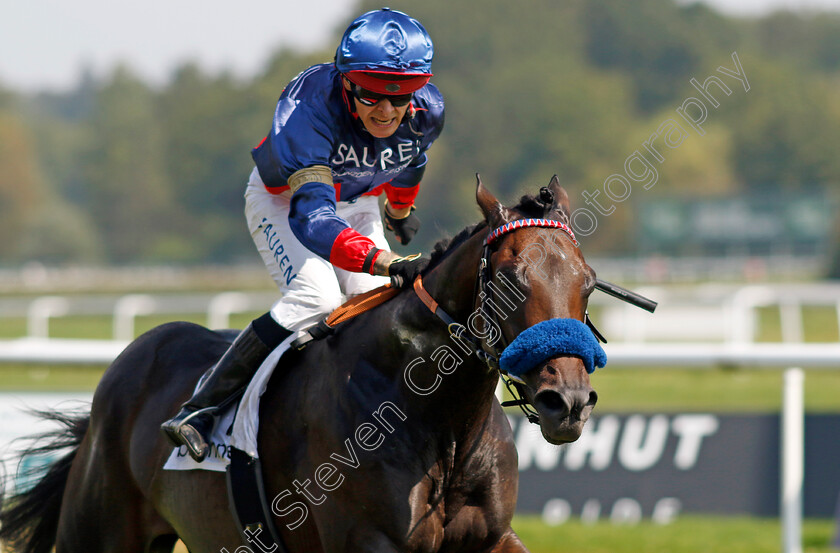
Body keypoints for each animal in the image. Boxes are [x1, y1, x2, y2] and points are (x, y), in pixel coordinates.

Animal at [0, 177, 604, 552]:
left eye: (588, 281)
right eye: (509, 279)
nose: (567, 402)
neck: (437, 420)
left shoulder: (492, 536)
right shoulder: (368, 541)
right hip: (98, 532)